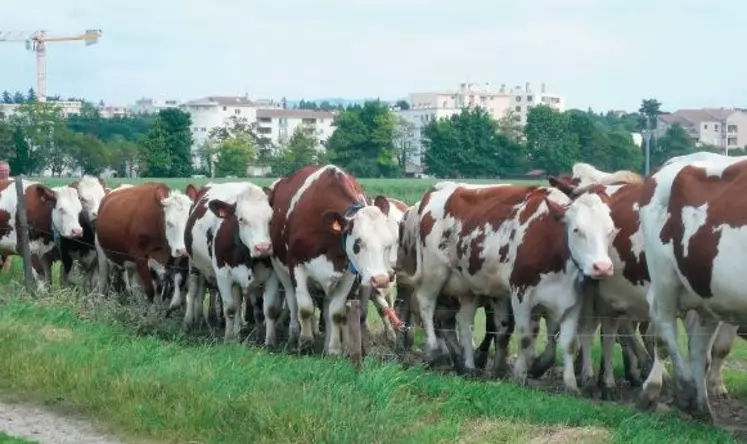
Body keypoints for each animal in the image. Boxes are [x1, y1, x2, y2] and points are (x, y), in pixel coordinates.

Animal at [180, 182, 278, 342]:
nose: (263, 248)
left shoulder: (272, 276)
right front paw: (227, 338)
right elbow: (230, 309)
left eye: (270, 219)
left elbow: (269, 310)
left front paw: (270, 342)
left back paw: (237, 332)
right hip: (193, 263)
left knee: (238, 301)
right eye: (241, 219)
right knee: (193, 290)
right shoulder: (223, 275)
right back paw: (188, 322)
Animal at [268, 165, 398, 356]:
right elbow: (305, 308)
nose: (380, 279)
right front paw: (305, 343)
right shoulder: (296, 266)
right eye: (358, 243)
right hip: (280, 268)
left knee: (327, 307)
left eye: (388, 244)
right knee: (292, 301)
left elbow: (335, 313)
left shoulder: (348, 275)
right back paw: (293, 335)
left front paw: (334, 350)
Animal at [406, 180, 616, 392]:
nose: (602, 267)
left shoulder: (573, 301)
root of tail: (441, 186)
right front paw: (519, 375)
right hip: (434, 271)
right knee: (426, 304)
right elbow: (524, 337)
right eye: (577, 230)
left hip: (468, 285)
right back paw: (434, 352)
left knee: (465, 322)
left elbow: (568, 343)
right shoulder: (521, 293)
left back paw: (469, 366)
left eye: (610, 231)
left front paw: (569, 383)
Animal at [636, 152, 747, 420]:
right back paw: (675, 390)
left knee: (698, 348)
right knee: (663, 328)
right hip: (663, 275)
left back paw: (701, 406)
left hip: (708, 291)